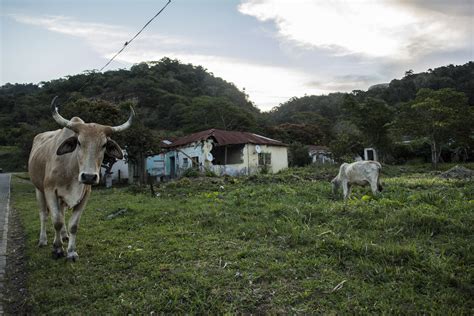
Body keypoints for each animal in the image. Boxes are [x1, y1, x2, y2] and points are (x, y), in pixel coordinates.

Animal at [28, 97, 133, 260]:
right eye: (78, 142)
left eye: (104, 144)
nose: (89, 176)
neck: (71, 170)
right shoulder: (50, 190)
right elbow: (56, 221)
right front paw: (57, 249)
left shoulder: (85, 194)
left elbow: (73, 225)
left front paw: (71, 251)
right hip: (38, 189)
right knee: (44, 215)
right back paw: (43, 240)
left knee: (62, 213)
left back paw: (64, 236)